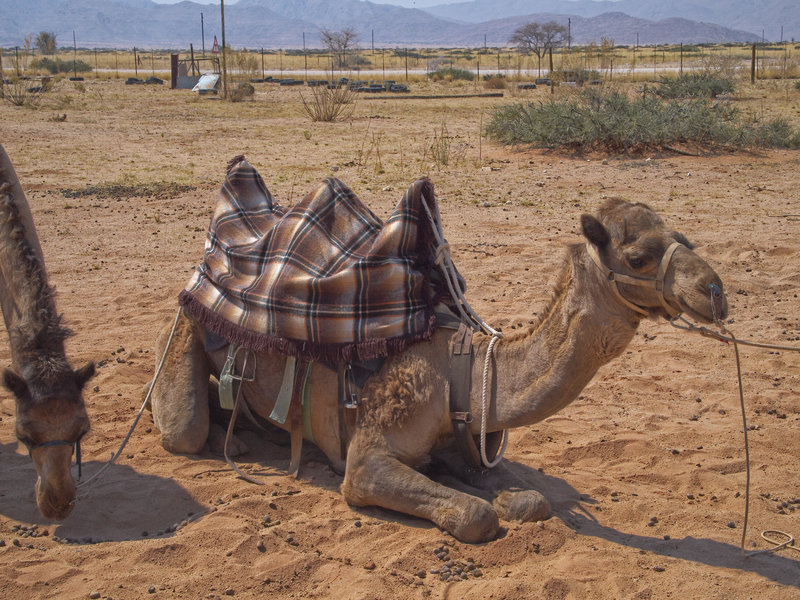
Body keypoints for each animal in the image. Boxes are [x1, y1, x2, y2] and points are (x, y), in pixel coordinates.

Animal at [149, 174, 727, 543]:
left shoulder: (467, 441)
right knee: (184, 430)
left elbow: (526, 500)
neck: (466, 369)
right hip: (181, 333)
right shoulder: (369, 457)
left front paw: (502, 495)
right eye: (638, 257)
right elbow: (473, 514)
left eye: (683, 236)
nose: (715, 292)